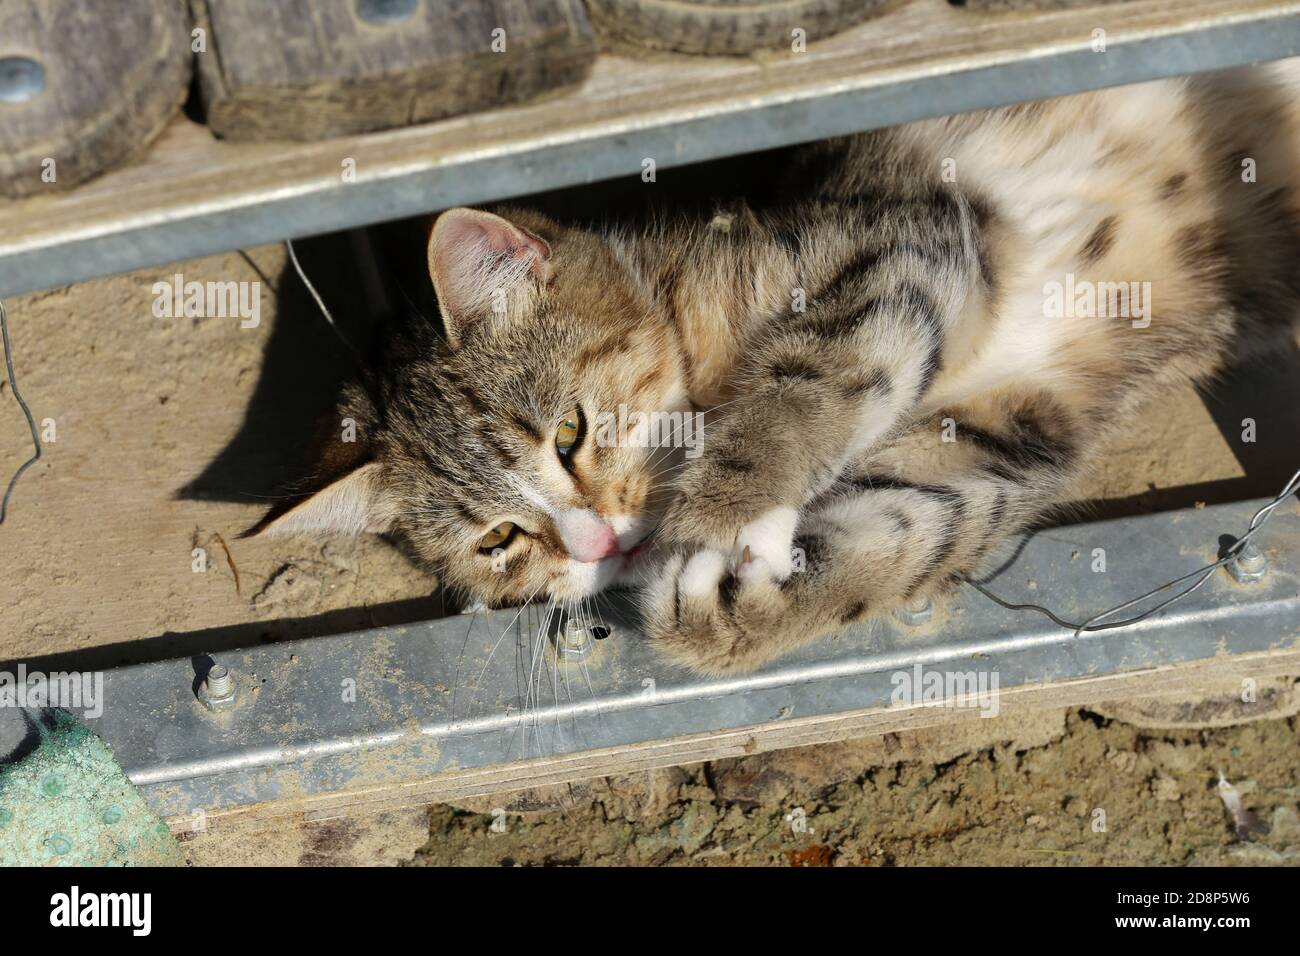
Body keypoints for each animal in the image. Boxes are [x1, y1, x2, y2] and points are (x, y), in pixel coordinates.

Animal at [250, 65, 1300, 671]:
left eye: (570, 432)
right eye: (500, 539)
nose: (595, 542)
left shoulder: (907, 242)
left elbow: (815, 380)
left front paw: (726, 503)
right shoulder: (1007, 427)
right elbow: (915, 530)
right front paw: (728, 607)